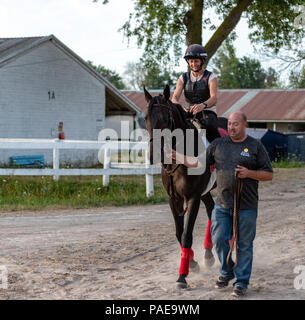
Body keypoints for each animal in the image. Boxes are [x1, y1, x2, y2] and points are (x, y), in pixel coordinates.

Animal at [144, 84, 224, 288]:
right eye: (146, 118)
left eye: (166, 118)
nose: (154, 153)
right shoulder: (174, 199)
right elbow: (179, 233)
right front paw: (193, 263)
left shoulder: (193, 197)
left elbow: (187, 234)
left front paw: (182, 276)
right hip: (205, 192)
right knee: (211, 209)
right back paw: (208, 256)